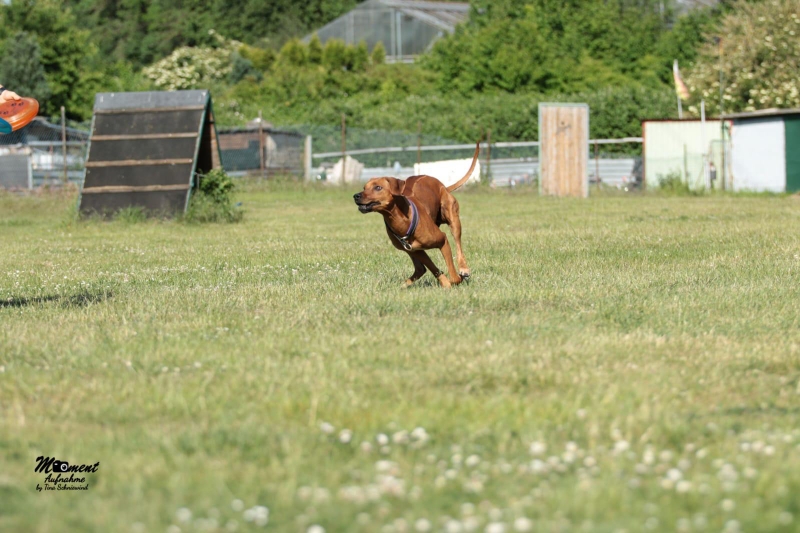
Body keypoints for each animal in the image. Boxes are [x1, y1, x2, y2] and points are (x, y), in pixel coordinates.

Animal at [354, 142, 478, 286]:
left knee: (458, 243)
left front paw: (455, 280)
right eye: (364, 188)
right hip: (413, 250)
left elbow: (453, 275)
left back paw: (463, 268)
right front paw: (446, 284)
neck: (400, 219)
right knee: (421, 269)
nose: (356, 196)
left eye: (378, 187)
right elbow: (433, 269)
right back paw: (404, 285)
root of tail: (443, 186)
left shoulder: (442, 240)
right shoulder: (415, 250)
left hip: (453, 217)